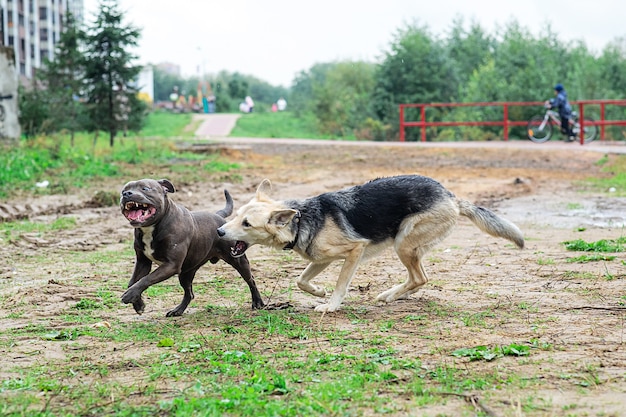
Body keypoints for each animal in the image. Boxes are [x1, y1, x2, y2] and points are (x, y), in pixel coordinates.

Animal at [119, 178, 264, 316]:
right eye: (123, 190)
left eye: (145, 188)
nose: (126, 194)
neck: (152, 227)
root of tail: (218, 216)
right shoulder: (143, 262)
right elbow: (134, 281)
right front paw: (138, 304)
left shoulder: (171, 265)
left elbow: (146, 279)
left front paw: (130, 296)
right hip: (186, 272)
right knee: (189, 293)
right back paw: (177, 311)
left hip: (238, 260)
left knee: (251, 280)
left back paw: (258, 302)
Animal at [217, 176, 524, 312]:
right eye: (237, 216)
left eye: (247, 224)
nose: (219, 231)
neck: (302, 219)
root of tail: (452, 197)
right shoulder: (321, 258)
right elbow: (301, 280)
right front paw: (318, 292)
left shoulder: (354, 250)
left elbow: (341, 284)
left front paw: (330, 305)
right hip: (407, 246)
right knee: (419, 279)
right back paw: (393, 295)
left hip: (402, 243)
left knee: (420, 278)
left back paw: (390, 295)